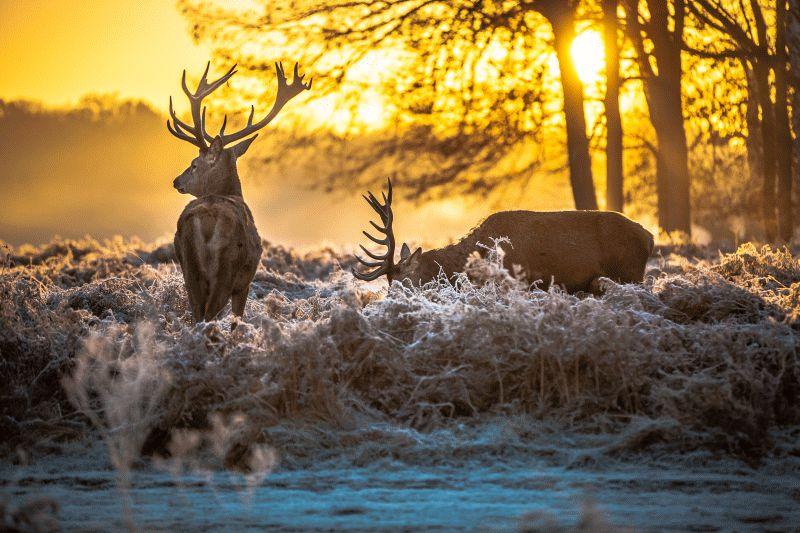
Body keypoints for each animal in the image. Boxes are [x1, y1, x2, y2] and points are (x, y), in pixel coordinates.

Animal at [167, 62, 311, 322]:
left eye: (194, 164)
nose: (176, 181)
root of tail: (207, 221)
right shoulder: (244, 284)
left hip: (189, 269)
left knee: (197, 314)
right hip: (227, 270)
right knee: (209, 315)